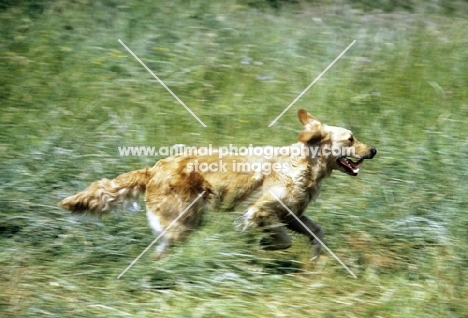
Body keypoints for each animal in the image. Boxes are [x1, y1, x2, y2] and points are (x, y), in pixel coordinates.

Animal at [59, 109, 376, 258]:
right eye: (350, 139)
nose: (373, 150)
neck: (305, 163)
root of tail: (153, 169)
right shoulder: (261, 209)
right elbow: (280, 237)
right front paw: (265, 244)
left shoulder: (292, 214)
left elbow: (317, 232)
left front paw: (313, 260)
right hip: (181, 225)